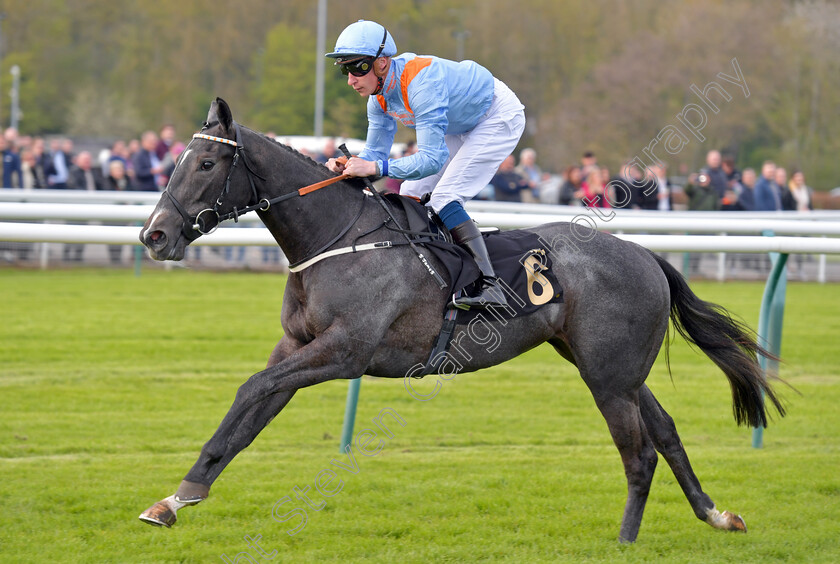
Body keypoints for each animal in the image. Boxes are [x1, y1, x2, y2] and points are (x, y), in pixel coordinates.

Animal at [135, 99, 784, 544]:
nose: (154, 236)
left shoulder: (344, 352)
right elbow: (247, 413)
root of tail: (648, 256)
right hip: (612, 367)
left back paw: (625, 542)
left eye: (207, 162)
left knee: (639, 452)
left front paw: (181, 493)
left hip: (606, 374)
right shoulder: (296, 344)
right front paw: (176, 496)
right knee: (667, 433)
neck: (337, 238)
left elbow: (253, 390)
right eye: (176, 161)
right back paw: (716, 514)